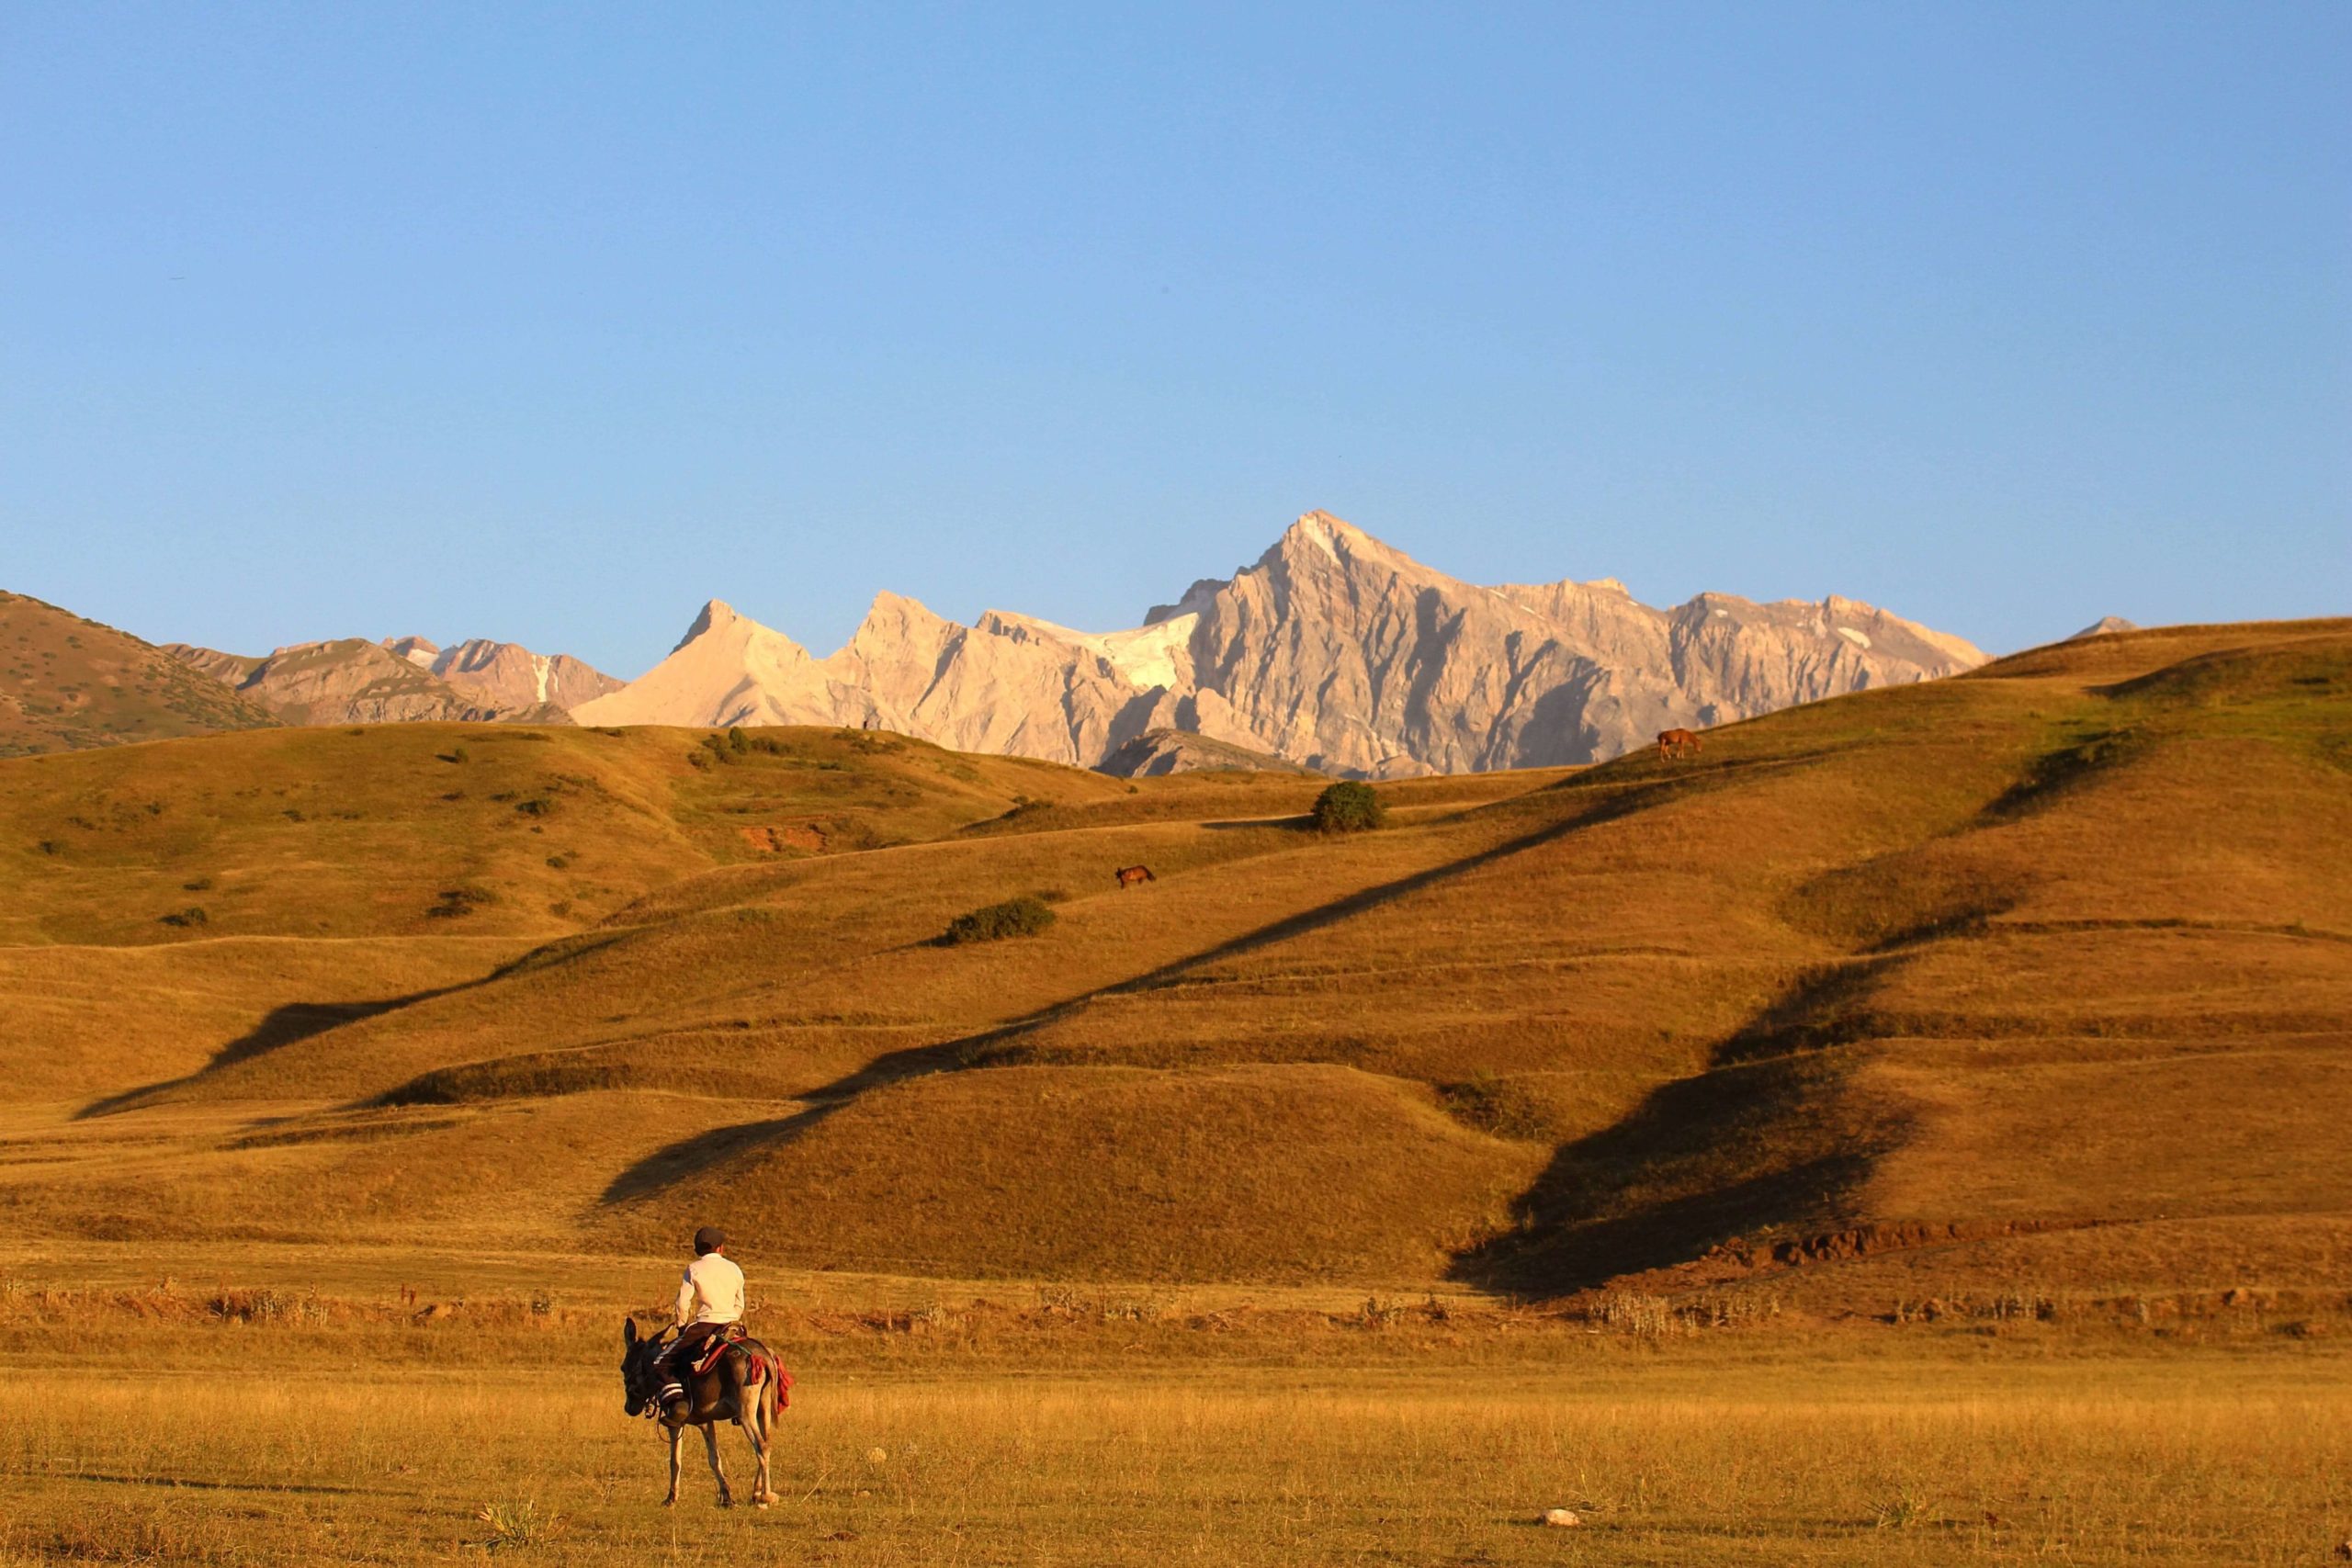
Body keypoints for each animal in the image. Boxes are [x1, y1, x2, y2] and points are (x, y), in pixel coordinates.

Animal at [625, 1325, 790, 1504]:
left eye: (623, 1367)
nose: (628, 1408)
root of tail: (763, 1356)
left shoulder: (675, 1423)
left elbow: (675, 1460)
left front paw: (671, 1498)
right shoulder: (706, 1422)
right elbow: (714, 1459)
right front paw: (726, 1497)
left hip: (746, 1412)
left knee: (761, 1446)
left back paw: (766, 1496)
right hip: (763, 1408)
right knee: (767, 1442)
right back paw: (757, 1492)